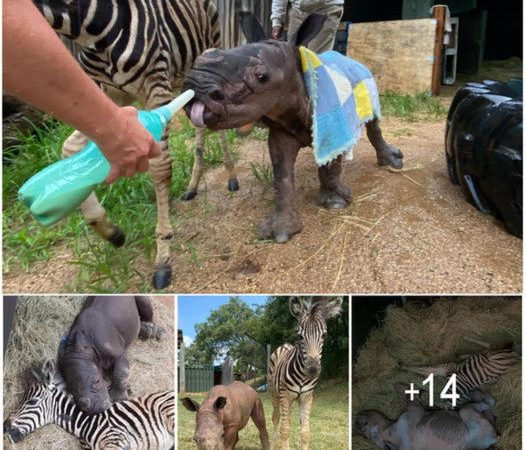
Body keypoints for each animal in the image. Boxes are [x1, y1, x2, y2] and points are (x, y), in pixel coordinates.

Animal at [34, 0, 238, 288]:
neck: (91, 29)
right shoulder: (108, 92)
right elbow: (70, 148)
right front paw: (110, 231)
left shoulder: (157, 89)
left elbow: (161, 168)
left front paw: (163, 257)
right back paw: (193, 185)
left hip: (206, 50)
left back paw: (231, 176)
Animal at [183, 12, 404, 243]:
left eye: (261, 77)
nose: (196, 84)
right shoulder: (281, 131)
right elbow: (282, 176)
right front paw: (281, 231)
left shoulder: (333, 127)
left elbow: (330, 166)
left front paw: (335, 203)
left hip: (369, 84)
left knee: (373, 120)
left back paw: (392, 162)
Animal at [270, 298, 344, 450]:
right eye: (299, 336)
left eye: (324, 335)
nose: (313, 370)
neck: (303, 378)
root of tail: (285, 344)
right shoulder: (285, 395)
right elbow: (284, 430)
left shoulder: (307, 397)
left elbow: (305, 432)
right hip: (275, 393)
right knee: (276, 418)